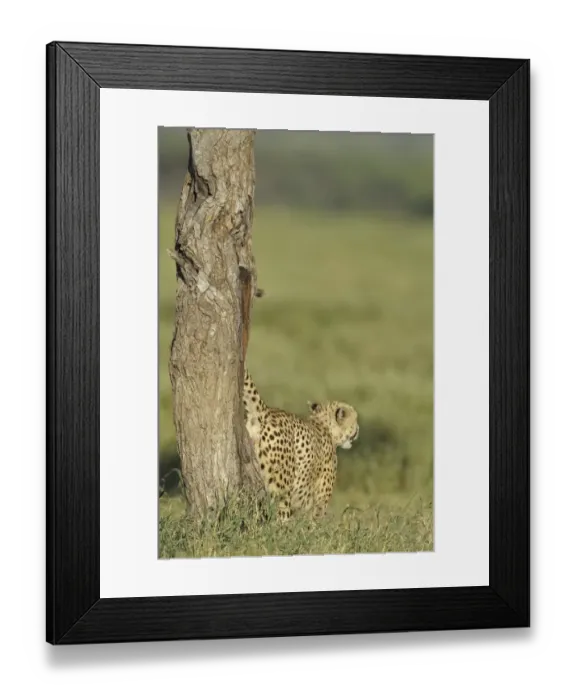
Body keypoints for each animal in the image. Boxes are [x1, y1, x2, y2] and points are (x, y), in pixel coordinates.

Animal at [243, 369, 359, 521]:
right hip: (282, 486)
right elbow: (316, 519)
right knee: (280, 513)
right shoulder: (320, 499)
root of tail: (265, 412)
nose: (358, 429)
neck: (322, 424)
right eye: (355, 419)